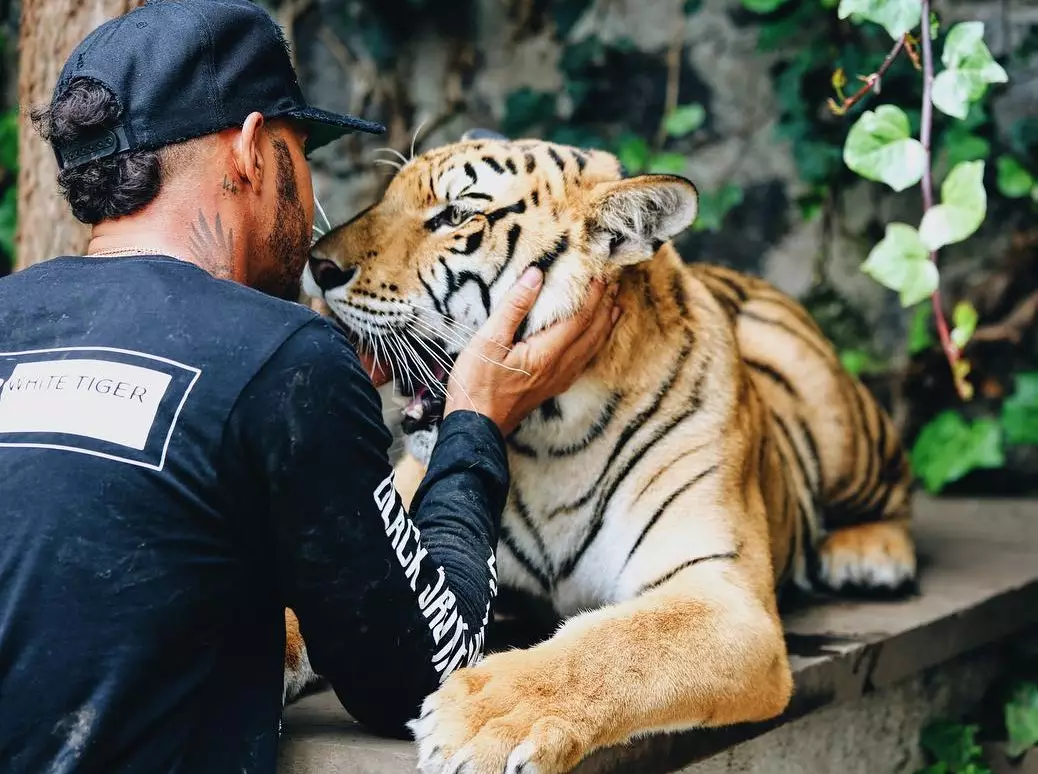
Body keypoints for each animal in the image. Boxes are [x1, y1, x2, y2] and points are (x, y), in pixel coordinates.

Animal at [292, 129, 917, 767]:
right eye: (388, 194)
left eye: (456, 215)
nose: (317, 266)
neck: (548, 440)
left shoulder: (720, 593)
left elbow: (616, 645)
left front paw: (482, 715)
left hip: (836, 417)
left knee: (896, 486)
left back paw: (869, 556)